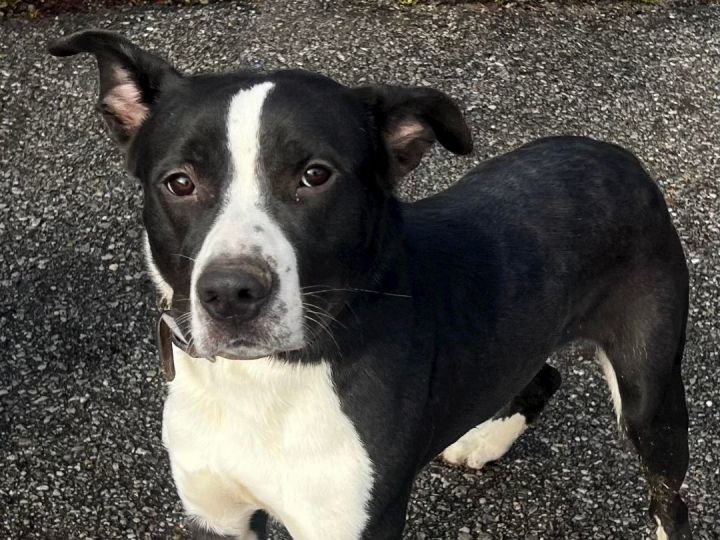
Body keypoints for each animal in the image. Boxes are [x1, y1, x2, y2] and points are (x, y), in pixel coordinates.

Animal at [49, 30, 692, 540]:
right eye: (179, 182)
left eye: (315, 175)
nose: (230, 293)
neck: (265, 381)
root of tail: (620, 157)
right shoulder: (218, 517)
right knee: (542, 375)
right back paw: (484, 440)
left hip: (649, 395)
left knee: (670, 497)